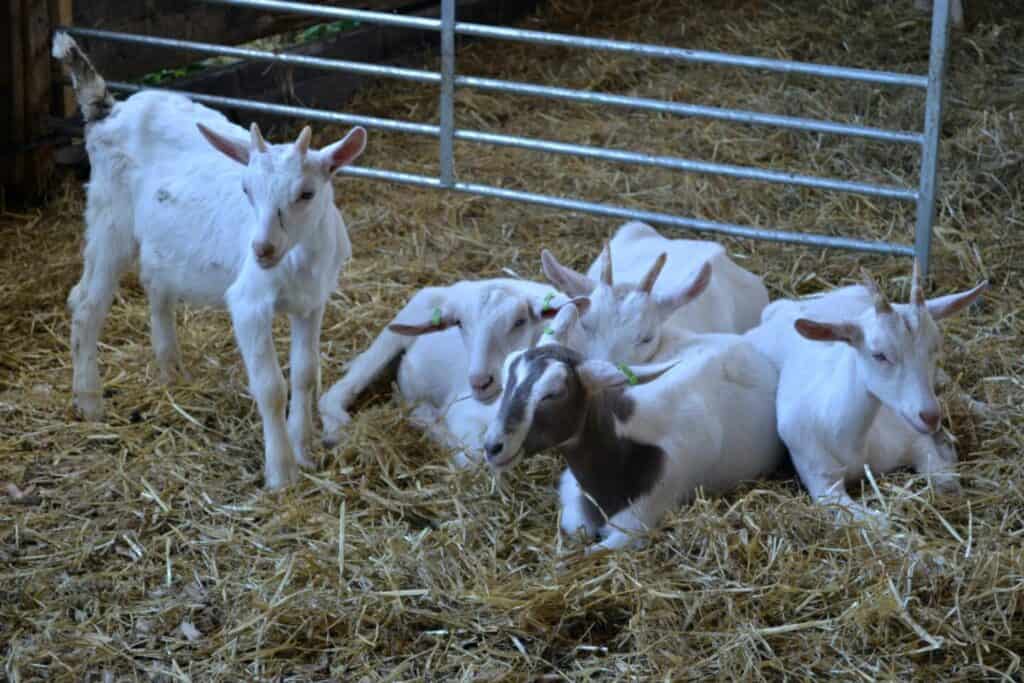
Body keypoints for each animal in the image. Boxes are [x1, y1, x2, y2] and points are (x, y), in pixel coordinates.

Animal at [54, 33, 367, 490]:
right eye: (246, 189)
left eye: (306, 193)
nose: (262, 249)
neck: (300, 260)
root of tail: (109, 109)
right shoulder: (250, 303)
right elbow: (271, 386)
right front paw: (281, 472)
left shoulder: (313, 302)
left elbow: (306, 374)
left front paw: (304, 450)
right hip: (109, 217)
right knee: (86, 301)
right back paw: (90, 401)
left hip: (160, 237)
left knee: (154, 281)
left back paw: (171, 371)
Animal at [745, 264, 986, 522]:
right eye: (879, 354)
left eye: (935, 347)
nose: (930, 416)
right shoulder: (821, 478)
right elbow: (879, 522)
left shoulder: (912, 439)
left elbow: (947, 483)